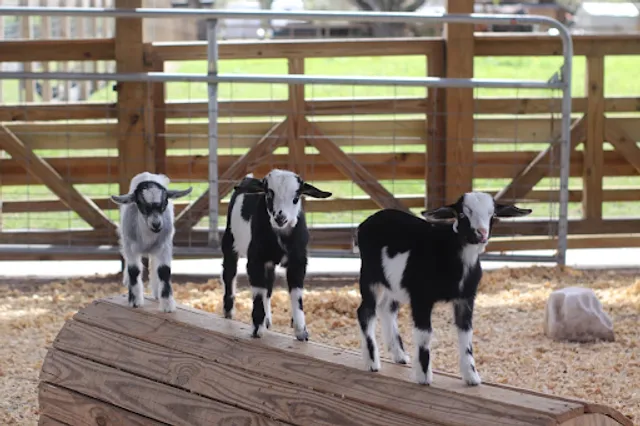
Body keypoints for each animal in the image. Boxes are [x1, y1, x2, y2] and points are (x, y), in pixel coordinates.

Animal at [110, 172, 192, 312]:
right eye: (140, 203)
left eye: (165, 202)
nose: (156, 224)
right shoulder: (130, 246)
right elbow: (134, 270)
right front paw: (135, 301)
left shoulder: (164, 246)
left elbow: (164, 270)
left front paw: (167, 304)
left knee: (154, 264)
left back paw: (156, 290)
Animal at [221, 169, 332, 341]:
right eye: (268, 194)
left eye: (296, 197)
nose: (280, 217)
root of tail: (248, 178)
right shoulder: (255, 259)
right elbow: (258, 292)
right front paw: (257, 329)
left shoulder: (298, 261)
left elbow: (295, 293)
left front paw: (301, 332)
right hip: (229, 240)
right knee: (229, 273)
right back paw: (228, 312)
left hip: (269, 262)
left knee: (269, 285)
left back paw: (267, 320)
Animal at [354, 192, 532, 385]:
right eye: (462, 214)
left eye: (492, 215)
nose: (481, 233)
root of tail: (364, 224)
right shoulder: (421, 297)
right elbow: (424, 334)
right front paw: (424, 377)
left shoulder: (465, 299)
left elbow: (466, 334)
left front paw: (472, 377)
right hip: (370, 276)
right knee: (366, 312)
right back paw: (372, 362)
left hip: (392, 284)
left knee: (386, 309)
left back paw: (399, 355)